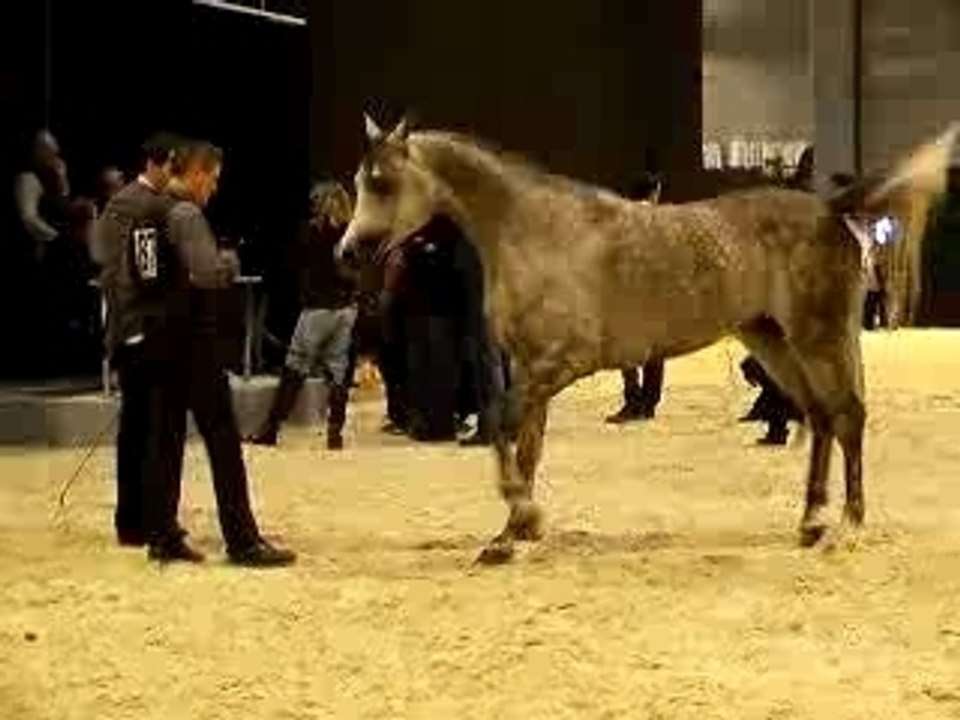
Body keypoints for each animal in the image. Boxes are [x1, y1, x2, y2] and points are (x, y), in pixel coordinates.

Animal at [338, 114, 957, 564]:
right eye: (359, 181)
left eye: (383, 182)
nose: (347, 253)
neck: (534, 230)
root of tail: (832, 210)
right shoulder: (532, 369)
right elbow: (527, 447)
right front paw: (513, 533)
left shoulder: (556, 365)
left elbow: (498, 427)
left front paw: (523, 519)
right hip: (772, 341)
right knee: (821, 417)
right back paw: (809, 522)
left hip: (818, 337)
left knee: (847, 415)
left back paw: (847, 527)